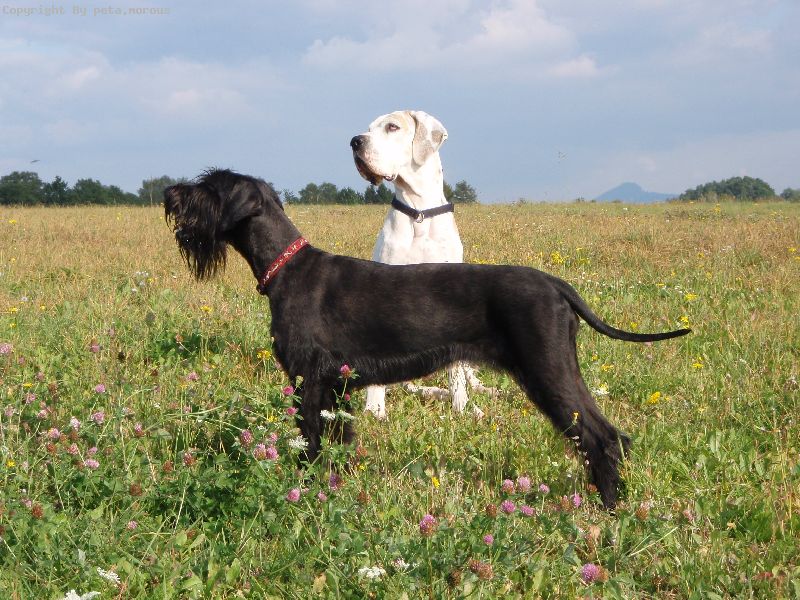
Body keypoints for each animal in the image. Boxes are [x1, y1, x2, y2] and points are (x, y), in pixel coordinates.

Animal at [164, 168, 690, 509]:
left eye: (210, 187)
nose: (170, 193)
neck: (286, 268)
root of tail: (557, 286)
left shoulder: (308, 382)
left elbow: (311, 444)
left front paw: (306, 492)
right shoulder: (337, 388)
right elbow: (340, 444)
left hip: (548, 371)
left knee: (602, 438)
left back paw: (608, 508)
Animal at [351, 110, 492, 419]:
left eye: (392, 127)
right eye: (368, 129)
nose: (355, 142)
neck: (419, 214)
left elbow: (456, 374)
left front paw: (462, 407)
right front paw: (374, 408)